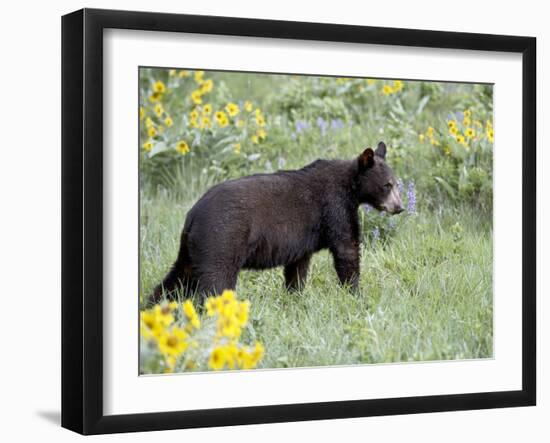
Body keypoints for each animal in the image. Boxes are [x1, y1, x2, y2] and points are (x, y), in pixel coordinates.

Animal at [151, 140, 406, 304]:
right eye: (387, 185)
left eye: (396, 183)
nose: (400, 207)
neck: (351, 187)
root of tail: (192, 215)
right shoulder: (335, 208)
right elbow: (347, 248)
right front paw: (355, 294)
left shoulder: (304, 239)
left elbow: (298, 267)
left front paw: (295, 297)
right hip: (221, 239)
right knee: (216, 281)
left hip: (192, 247)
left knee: (177, 278)